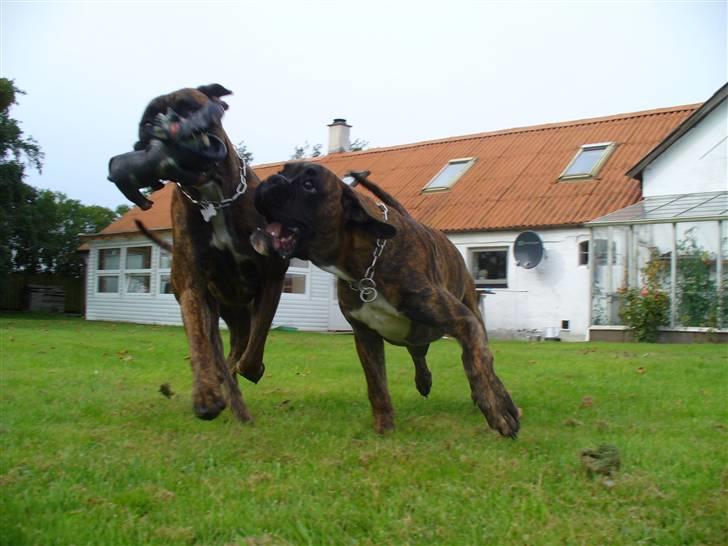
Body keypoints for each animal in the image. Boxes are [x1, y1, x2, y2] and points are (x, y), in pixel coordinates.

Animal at [107, 84, 288, 420]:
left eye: (190, 106)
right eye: (147, 121)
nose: (167, 125)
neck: (215, 197)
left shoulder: (272, 277)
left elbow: (253, 350)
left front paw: (250, 370)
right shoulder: (191, 286)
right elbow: (199, 344)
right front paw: (206, 395)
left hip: (240, 315)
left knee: (239, 350)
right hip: (216, 309)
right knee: (217, 351)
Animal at [253, 159, 520, 436]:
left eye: (308, 184)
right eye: (283, 171)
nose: (272, 179)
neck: (366, 266)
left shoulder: (463, 321)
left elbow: (477, 364)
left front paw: (497, 412)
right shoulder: (366, 337)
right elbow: (377, 385)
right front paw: (384, 427)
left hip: (468, 314)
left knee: (483, 360)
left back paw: (502, 400)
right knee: (419, 353)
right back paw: (424, 381)